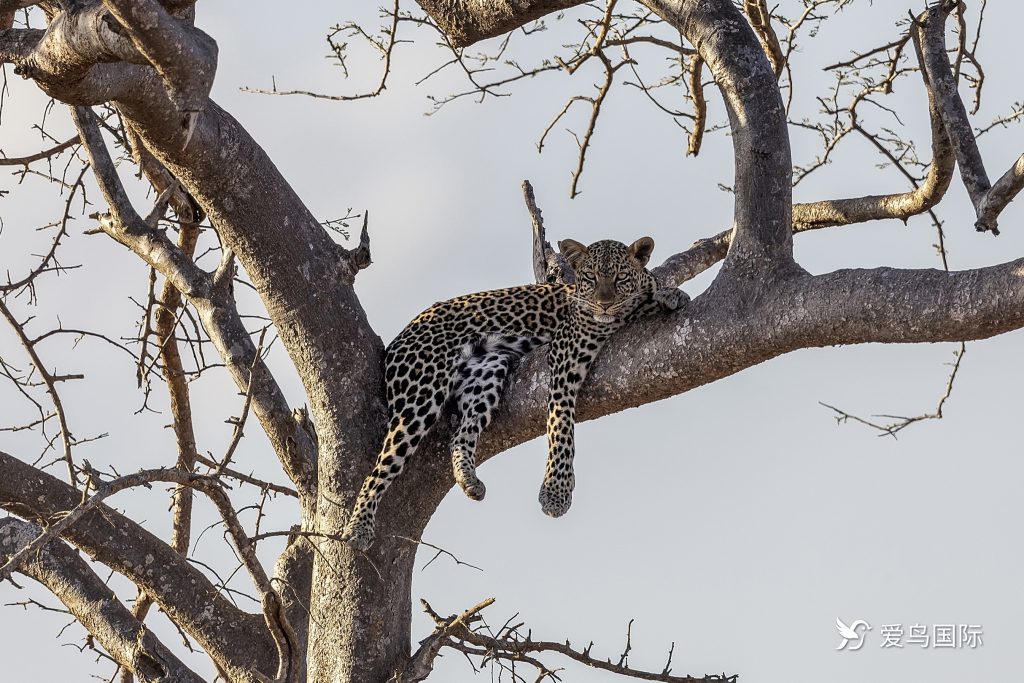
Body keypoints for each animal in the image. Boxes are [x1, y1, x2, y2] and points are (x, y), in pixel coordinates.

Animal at [339, 235, 684, 548]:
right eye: (590, 277)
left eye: (620, 277)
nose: (605, 302)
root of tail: (400, 336)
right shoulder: (565, 353)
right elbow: (561, 426)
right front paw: (556, 493)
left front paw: (669, 294)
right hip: (420, 395)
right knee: (377, 469)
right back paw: (358, 528)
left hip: (488, 370)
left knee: (460, 435)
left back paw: (470, 482)